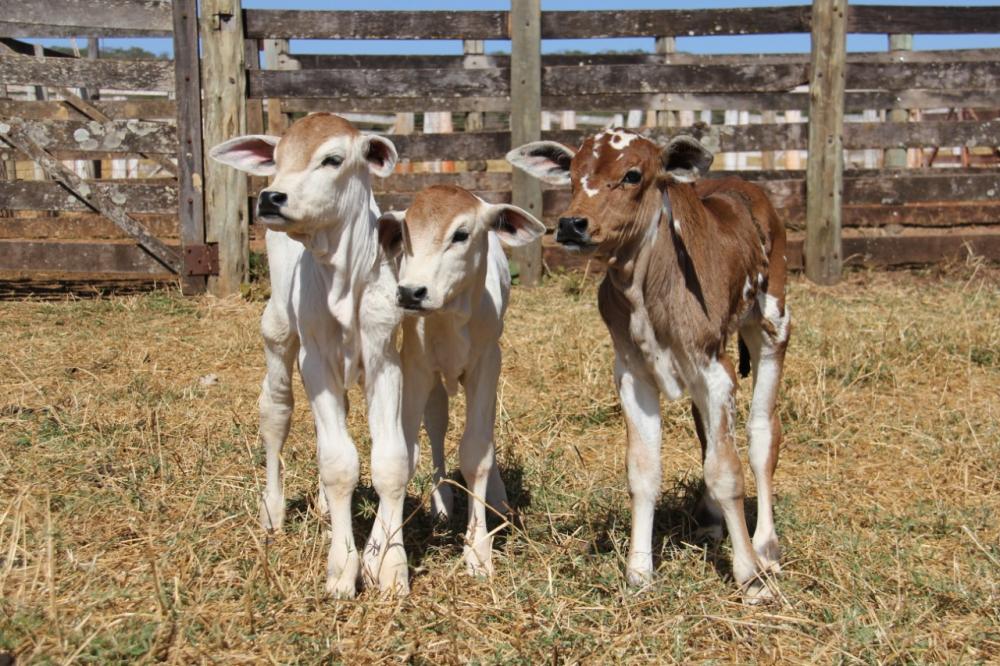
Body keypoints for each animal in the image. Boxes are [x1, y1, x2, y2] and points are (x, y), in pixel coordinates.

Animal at [209, 113, 412, 597]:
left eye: (332, 158)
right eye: (277, 158)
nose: (270, 196)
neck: (344, 278)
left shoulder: (384, 360)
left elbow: (391, 461)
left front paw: (391, 567)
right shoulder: (315, 360)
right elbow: (339, 463)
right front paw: (343, 568)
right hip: (279, 334)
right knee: (276, 413)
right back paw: (272, 510)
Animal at [377, 185, 546, 575]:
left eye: (461, 234)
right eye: (406, 232)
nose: (411, 292)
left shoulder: (487, 363)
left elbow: (476, 452)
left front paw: (478, 547)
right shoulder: (416, 367)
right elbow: (408, 451)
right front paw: (384, 553)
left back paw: (496, 495)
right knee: (437, 425)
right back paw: (441, 499)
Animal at [508, 129, 790, 602]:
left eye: (632, 175)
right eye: (573, 173)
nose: (571, 224)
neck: (648, 289)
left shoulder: (715, 370)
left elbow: (727, 470)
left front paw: (749, 574)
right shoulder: (633, 375)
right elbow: (644, 470)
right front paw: (639, 570)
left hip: (772, 326)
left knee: (762, 434)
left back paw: (766, 545)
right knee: (707, 437)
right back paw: (711, 522)